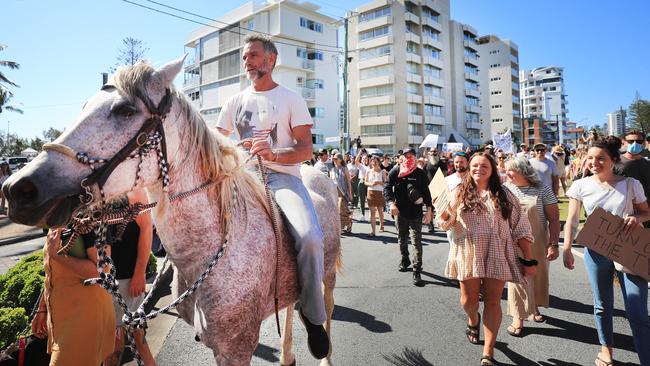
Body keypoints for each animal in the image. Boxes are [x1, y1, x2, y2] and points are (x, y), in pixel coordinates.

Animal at [2, 58, 342, 364]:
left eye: (125, 110)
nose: (16, 190)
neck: (207, 250)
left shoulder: (236, 348)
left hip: (325, 278)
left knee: (324, 311)